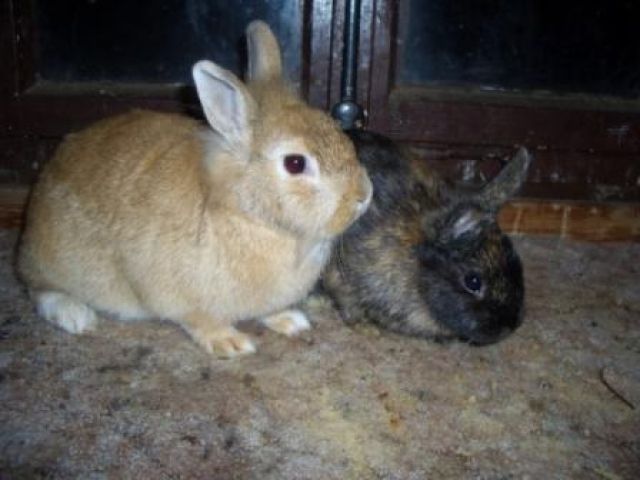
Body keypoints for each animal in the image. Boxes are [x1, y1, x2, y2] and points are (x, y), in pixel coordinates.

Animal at [17, 21, 373, 357]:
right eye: (295, 163)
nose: (363, 195)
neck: (248, 215)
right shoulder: (178, 295)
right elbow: (201, 320)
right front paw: (230, 343)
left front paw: (291, 320)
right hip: (54, 263)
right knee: (39, 290)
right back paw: (75, 316)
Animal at [323, 129, 531, 345]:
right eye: (473, 281)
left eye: (517, 263)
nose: (510, 326)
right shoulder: (340, 277)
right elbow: (349, 306)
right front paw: (367, 329)